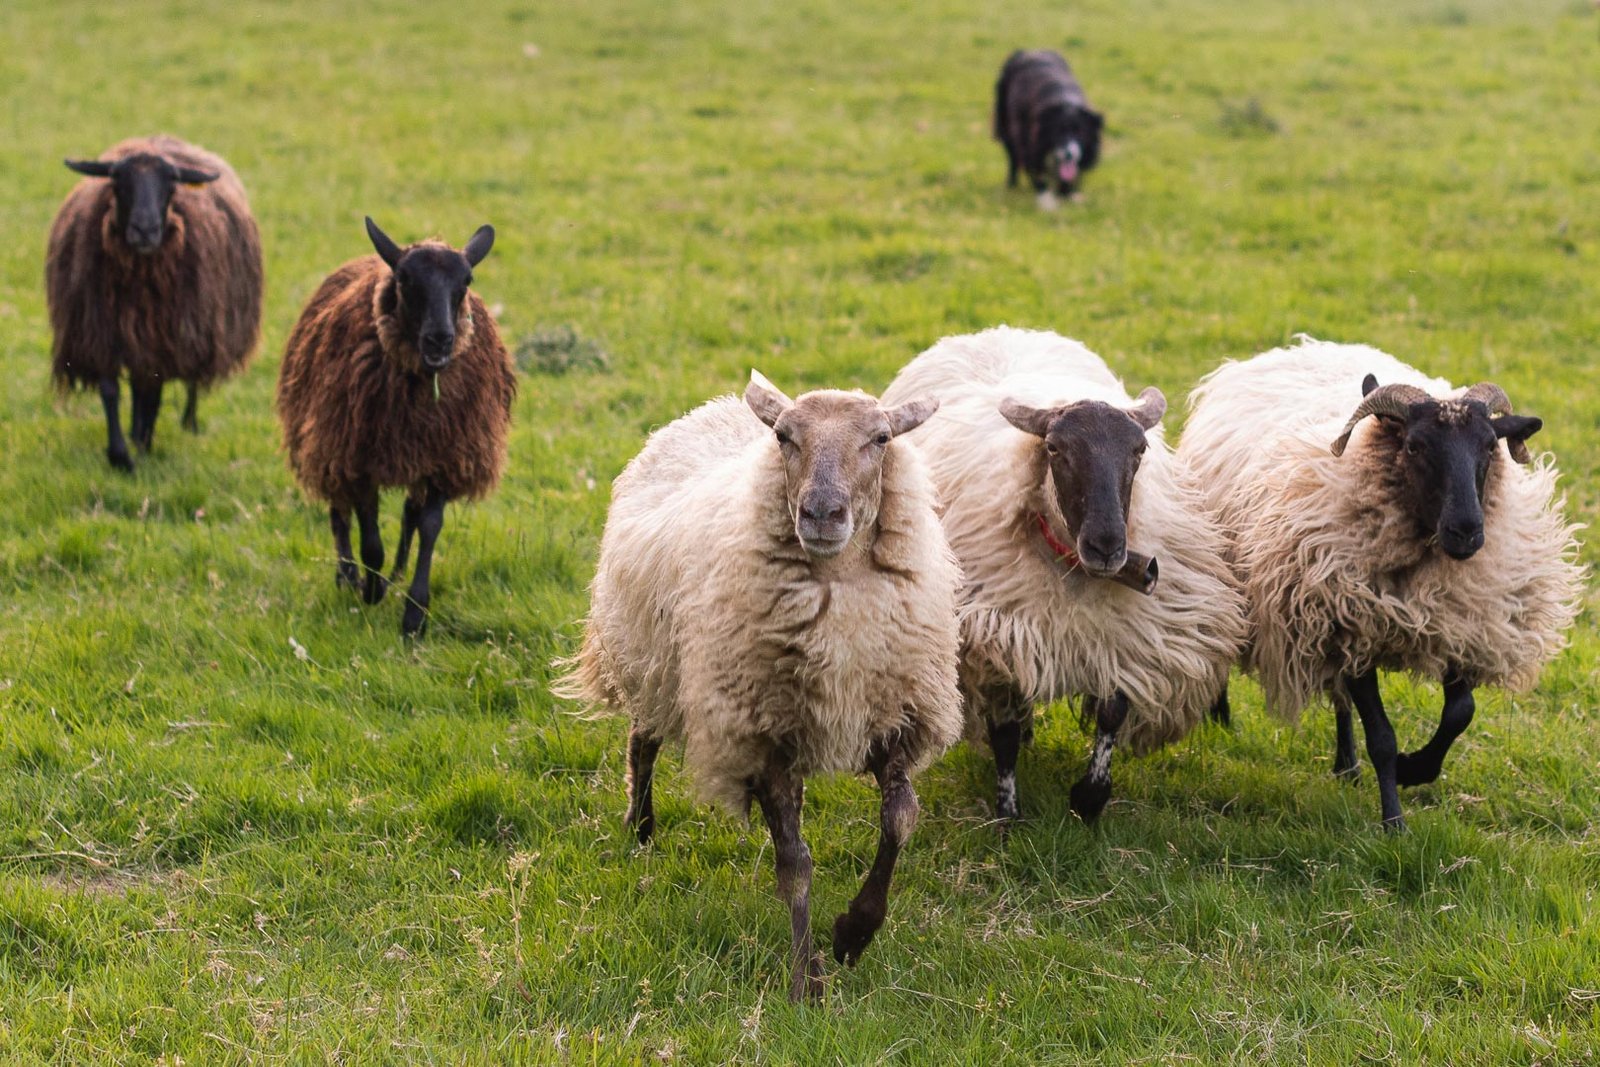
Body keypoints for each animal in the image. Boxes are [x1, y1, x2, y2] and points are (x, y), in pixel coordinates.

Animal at [46, 134, 263, 470]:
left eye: (171, 186)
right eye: (118, 182)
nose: (145, 230)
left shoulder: (166, 337)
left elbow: (153, 393)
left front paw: (141, 444)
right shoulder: (101, 331)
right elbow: (112, 390)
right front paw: (121, 455)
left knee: (175, 386)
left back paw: (183, 424)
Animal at [276, 217, 516, 637]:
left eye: (466, 279)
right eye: (404, 278)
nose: (440, 339)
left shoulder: (445, 456)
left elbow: (430, 525)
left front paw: (414, 613)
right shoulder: (359, 458)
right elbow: (371, 539)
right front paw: (371, 590)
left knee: (408, 515)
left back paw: (396, 574)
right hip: (328, 442)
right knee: (339, 511)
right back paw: (348, 576)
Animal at [559, 371, 962, 1002]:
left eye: (880, 438)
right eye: (784, 438)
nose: (821, 513)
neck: (840, 590)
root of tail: (709, 409)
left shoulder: (892, 714)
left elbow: (900, 821)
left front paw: (854, 933)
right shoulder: (764, 733)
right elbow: (796, 864)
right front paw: (804, 982)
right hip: (655, 665)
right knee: (642, 743)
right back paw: (640, 828)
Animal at [881, 327, 1248, 824]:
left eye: (1140, 450)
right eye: (1055, 449)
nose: (1107, 546)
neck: (1073, 569)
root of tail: (997, 330)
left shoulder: (1126, 636)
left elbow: (1112, 712)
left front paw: (1089, 799)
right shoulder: (997, 639)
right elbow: (1004, 733)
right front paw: (1008, 815)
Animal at [1179, 338, 1584, 830]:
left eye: (1490, 446)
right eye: (1413, 445)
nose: (1467, 530)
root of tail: (1294, 348)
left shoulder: (1462, 625)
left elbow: (1460, 714)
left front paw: (1416, 769)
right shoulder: (1350, 625)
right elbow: (1383, 738)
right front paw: (1394, 822)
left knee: (1339, 699)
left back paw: (1346, 766)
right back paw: (1219, 716)